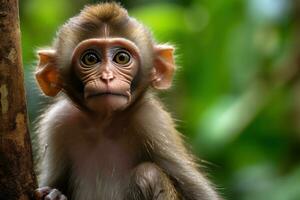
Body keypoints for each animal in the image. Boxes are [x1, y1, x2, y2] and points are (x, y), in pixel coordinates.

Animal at [33, 2, 220, 200]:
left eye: (122, 58)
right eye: (90, 58)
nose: (107, 77)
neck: (103, 124)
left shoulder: (153, 121)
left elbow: (199, 192)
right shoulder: (56, 122)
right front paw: (55, 195)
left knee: (148, 173)